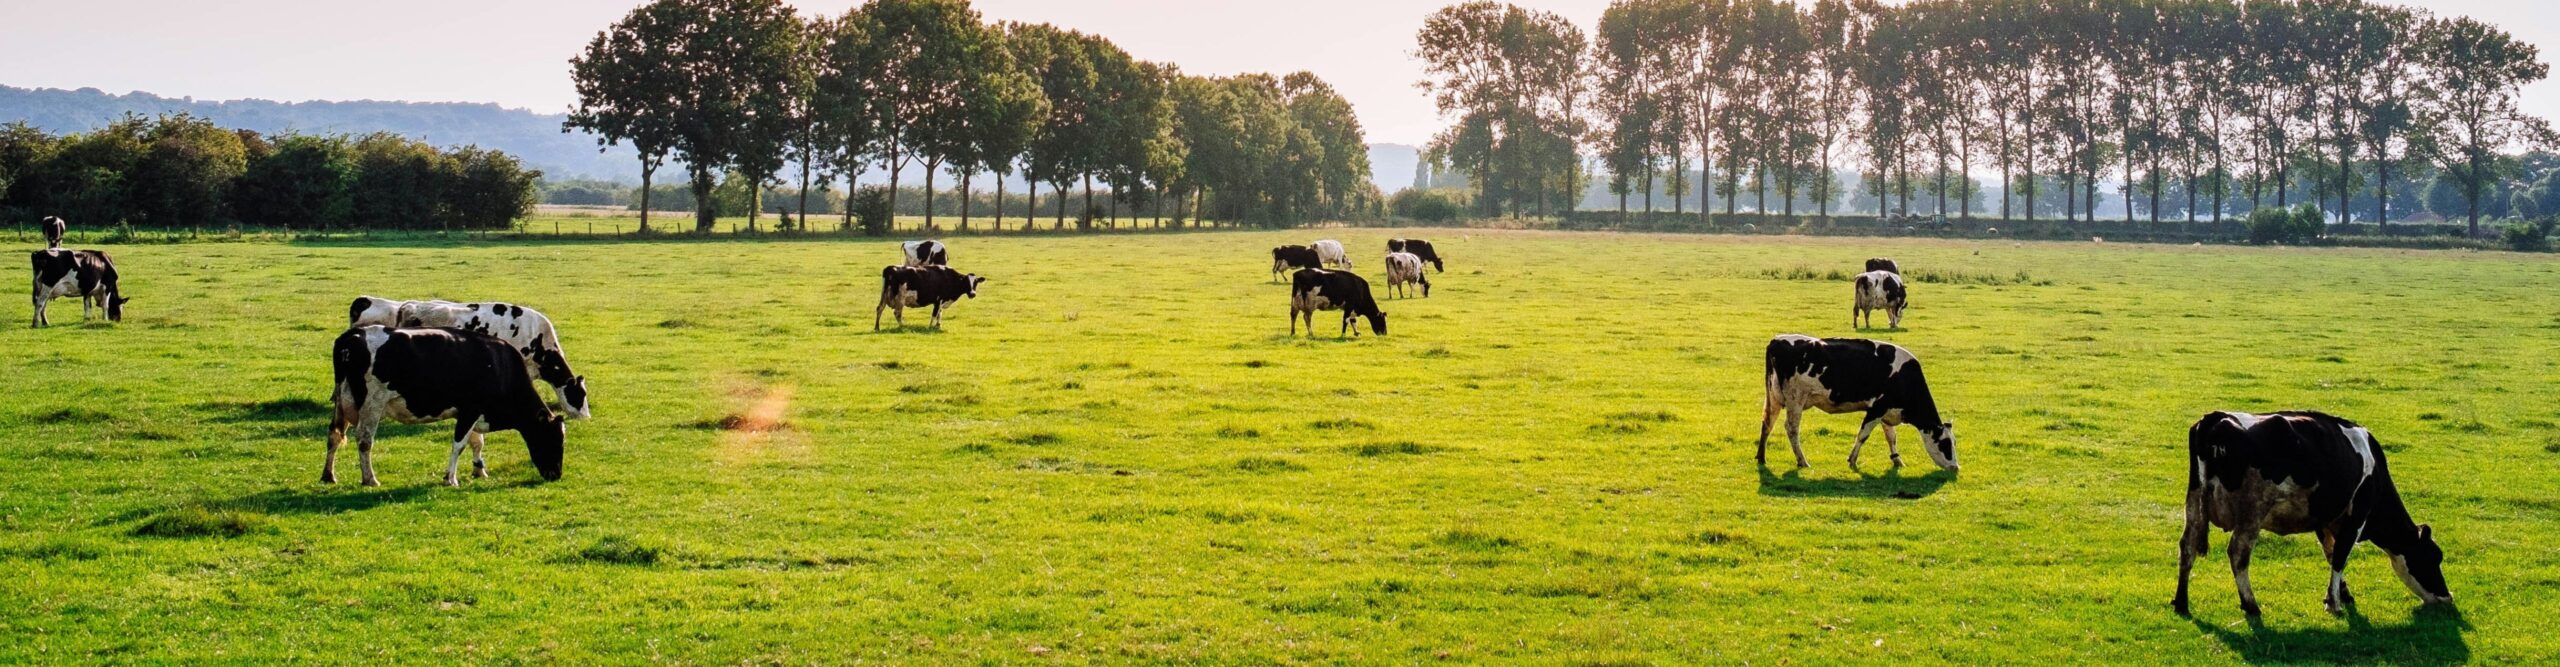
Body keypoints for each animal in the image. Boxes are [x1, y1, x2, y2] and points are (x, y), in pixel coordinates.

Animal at [327, 326, 567, 487]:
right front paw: (450, 478)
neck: (500, 366)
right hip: (372, 403)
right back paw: (370, 479)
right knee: (364, 440)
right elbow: (459, 445)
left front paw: (479, 471)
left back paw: (328, 475)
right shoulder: (471, 409)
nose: (556, 474)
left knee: (334, 435)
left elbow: (476, 442)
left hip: (341, 402)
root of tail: (353, 335)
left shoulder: (469, 413)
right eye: (554, 438)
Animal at [1758, 335, 1956, 471]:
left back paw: (1761, 457)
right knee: (1791, 428)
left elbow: (1891, 436)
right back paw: (1802, 461)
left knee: (1767, 423)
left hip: (1774, 398)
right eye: (1945, 444)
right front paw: (1852, 460)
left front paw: (1897, 460)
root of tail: (1776, 340)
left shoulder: (1887, 410)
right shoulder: (1876, 408)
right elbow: (1863, 435)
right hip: (1795, 400)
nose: (1956, 467)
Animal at [2175, 411, 2452, 617]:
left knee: (2187, 546)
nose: (2447, 597)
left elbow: (2330, 554)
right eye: (2433, 557)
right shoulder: (2356, 516)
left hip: (2194, 502)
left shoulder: (2324, 519)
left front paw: (2341, 594)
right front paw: (2335, 604)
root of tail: (2216, 417)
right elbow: (2340, 556)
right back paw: (2251, 605)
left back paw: (2181, 602)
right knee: (2238, 554)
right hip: (2251, 511)